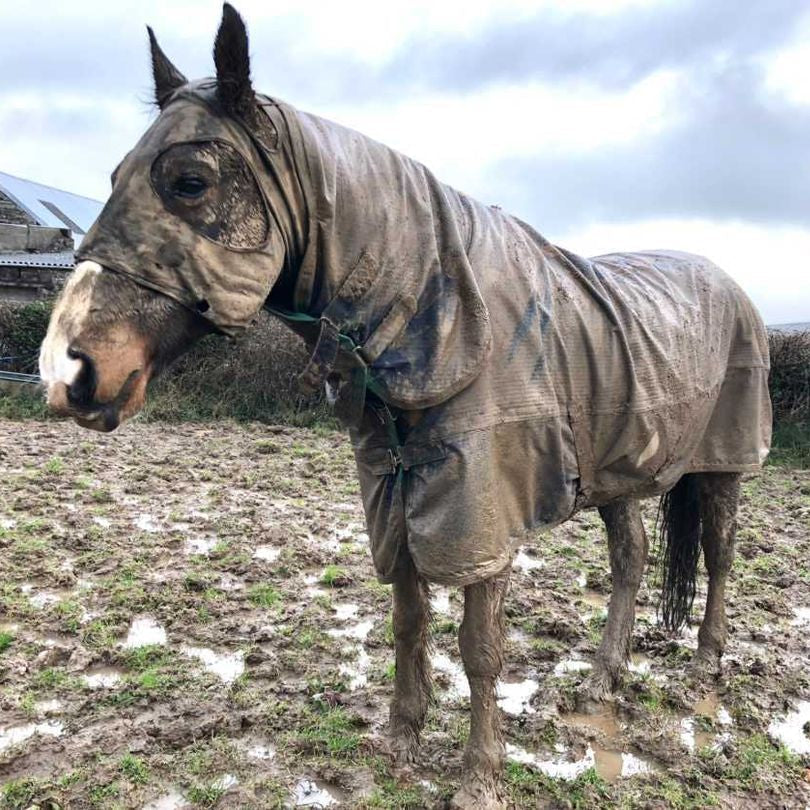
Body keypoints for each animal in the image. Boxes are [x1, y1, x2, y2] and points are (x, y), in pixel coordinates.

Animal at [38, 6, 771, 807]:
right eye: (115, 178)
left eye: (188, 181)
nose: (67, 369)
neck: (439, 313)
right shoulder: (394, 497)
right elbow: (409, 622)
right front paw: (401, 742)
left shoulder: (481, 518)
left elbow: (480, 650)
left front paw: (479, 776)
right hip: (618, 472)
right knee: (631, 559)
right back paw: (603, 678)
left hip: (725, 464)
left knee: (720, 555)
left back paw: (704, 666)